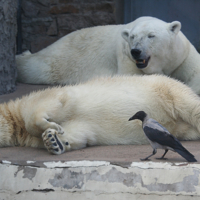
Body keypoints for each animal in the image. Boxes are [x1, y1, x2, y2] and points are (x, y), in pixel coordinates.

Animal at [16, 16, 200, 94]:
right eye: (132, 37)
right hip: (59, 60)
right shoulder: (125, 57)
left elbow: (194, 73)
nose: (136, 51)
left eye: (151, 35)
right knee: (35, 68)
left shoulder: (182, 56)